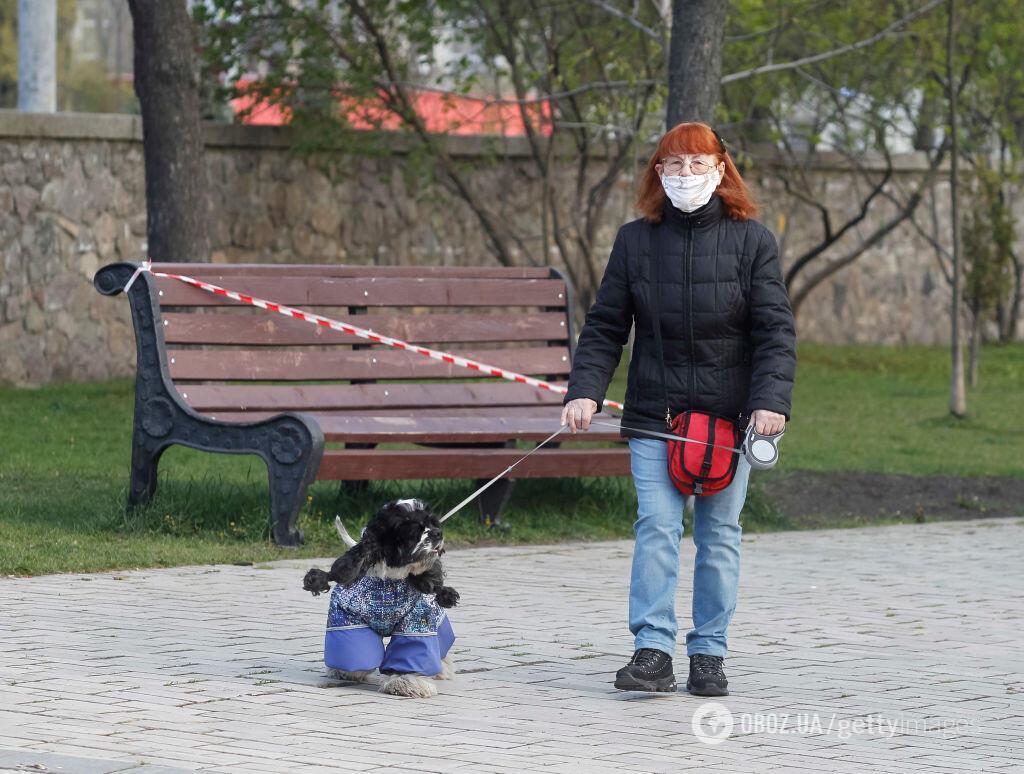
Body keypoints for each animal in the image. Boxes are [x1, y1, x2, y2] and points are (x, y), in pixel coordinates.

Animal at [303, 499, 460, 700]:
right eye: (412, 528)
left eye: (433, 522)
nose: (437, 533)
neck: (390, 580)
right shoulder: (347, 618)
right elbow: (356, 647)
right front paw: (345, 671)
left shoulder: (417, 619)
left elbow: (412, 646)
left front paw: (405, 682)